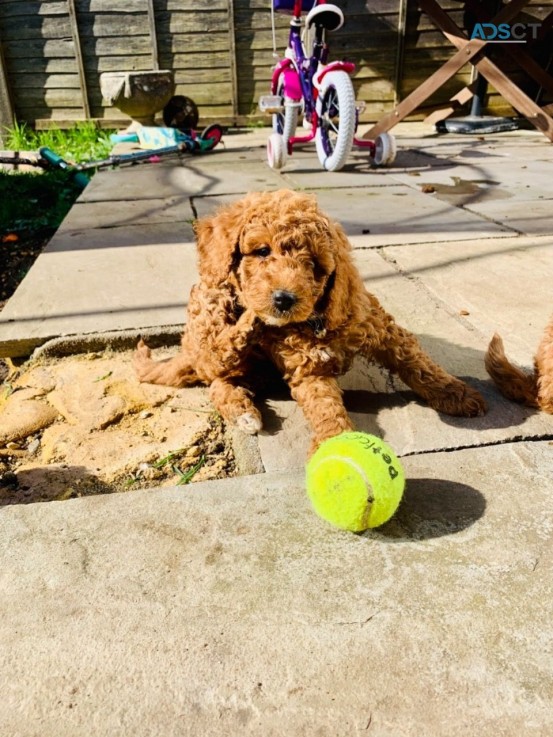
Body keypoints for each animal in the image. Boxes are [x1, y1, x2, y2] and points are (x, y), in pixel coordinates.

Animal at [136, 188, 486, 454]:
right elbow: (324, 406)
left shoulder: (381, 330)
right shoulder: (307, 368)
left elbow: (418, 364)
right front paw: (335, 441)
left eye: (315, 265)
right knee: (215, 369)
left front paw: (455, 393)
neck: (317, 321)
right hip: (208, 312)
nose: (283, 299)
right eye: (262, 251)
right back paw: (244, 393)